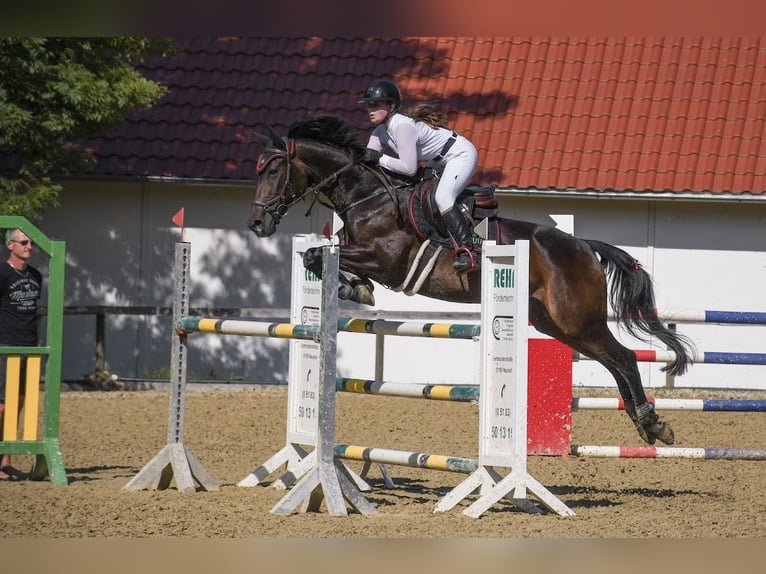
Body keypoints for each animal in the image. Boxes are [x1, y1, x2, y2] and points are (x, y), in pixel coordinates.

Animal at [249, 112, 700, 446]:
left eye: (273, 171)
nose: (256, 224)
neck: (367, 196)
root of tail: (584, 246)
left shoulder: (388, 260)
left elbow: (320, 255)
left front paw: (355, 286)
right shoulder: (353, 247)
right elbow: (321, 254)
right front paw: (354, 286)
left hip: (577, 320)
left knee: (623, 359)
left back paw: (653, 424)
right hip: (556, 324)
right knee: (613, 362)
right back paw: (647, 424)